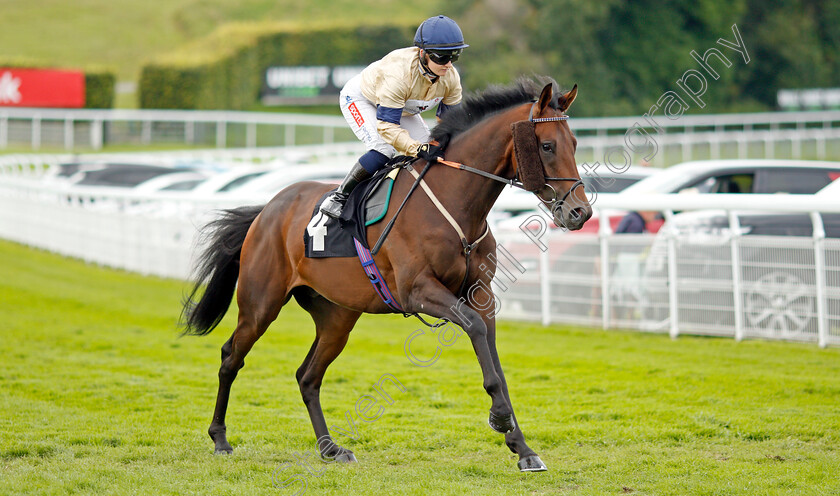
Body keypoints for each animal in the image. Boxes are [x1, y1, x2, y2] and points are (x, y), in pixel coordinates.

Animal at [181, 77, 592, 472]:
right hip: (261, 304)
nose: (580, 213)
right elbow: (476, 335)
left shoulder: (481, 295)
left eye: (574, 143)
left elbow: (495, 362)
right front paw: (501, 419)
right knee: (231, 357)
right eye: (547, 146)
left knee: (307, 376)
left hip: (336, 317)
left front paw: (522, 448)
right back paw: (220, 438)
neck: (455, 203)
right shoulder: (419, 291)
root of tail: (267, 209)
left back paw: (330, 448)